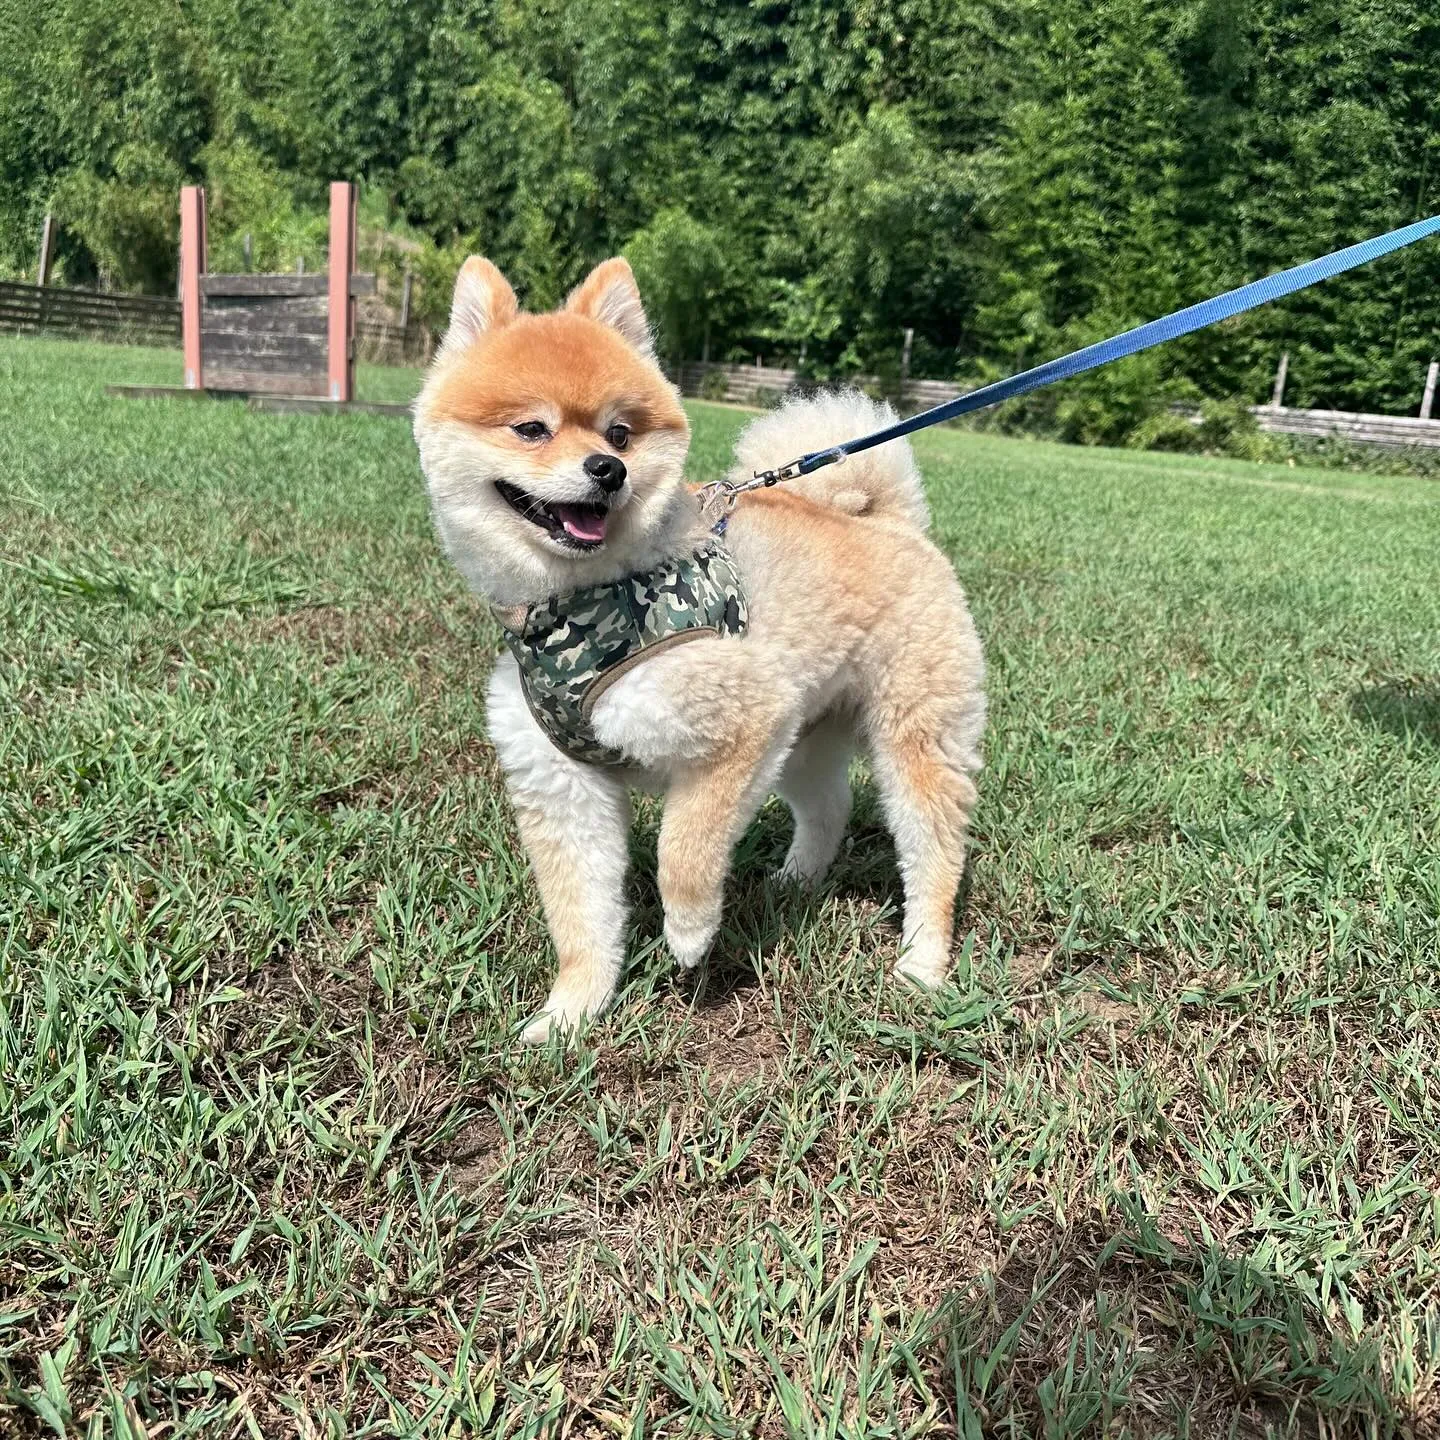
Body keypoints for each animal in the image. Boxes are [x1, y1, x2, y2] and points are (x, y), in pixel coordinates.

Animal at [411, 256, 984, 1048]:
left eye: (620, 433)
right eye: (532, 429)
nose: (606, 469)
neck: (584, 602)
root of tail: (887, 519)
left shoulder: (742, 721)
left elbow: (681, 850)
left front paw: (688, 933)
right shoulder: (562, 784)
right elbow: (581, 918)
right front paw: (569, 1015)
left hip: (913, 729)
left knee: (934, 848)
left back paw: (922, 963)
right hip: (807, 732)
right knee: (829, 804)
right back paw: (797, 881)